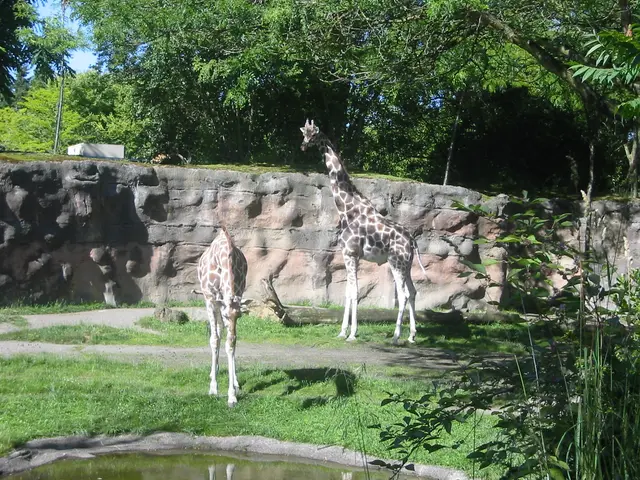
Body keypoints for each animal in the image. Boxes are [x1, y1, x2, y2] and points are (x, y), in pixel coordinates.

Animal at [197, 226, 248, 407]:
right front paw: (213, 388)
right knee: (216, 334)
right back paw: (214, 373)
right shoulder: (211, 299)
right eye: (227, 315)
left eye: (240, 316)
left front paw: (232, 394)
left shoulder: (237, 296)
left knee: (221, 332)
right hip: (212, 301)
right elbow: (214, 339)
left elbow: (230, 343)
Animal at [300, 119, 427, 344]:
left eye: (312, 134)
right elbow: (348, 291)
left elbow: (354, 292)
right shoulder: (352, 256)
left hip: (396, 262)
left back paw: (396, 336)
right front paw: (343, 331)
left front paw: (351, 333)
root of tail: (412, 241)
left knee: (403, 295)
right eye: (303, 133)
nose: (303, 146)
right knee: (413, 292)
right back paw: (411, 336)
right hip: (408, 265)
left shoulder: (350, 254)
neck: (347, 209)